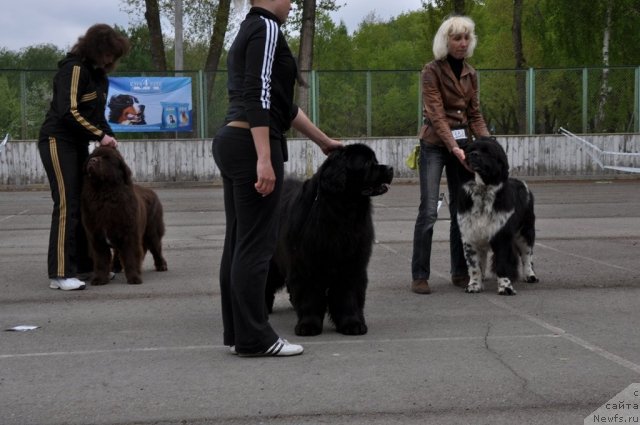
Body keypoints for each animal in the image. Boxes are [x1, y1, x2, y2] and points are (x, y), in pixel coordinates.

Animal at [80, 147, 168, 284]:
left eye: (106, 158)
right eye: (92, 156)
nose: (92, 161)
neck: (104, 195)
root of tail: (151, 191)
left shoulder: (130, 233)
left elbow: (131, 256)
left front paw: (134, 278)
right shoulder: (96, 236)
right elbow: (100, 260)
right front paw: (99, 279)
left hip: (152, 231)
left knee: (156, 247)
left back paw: (161, 265)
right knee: (118, 251)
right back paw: (116, 267)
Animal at [264, 142, 396, 334]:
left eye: (376, 160)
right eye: (365, 163)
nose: (391, 168)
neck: (343, 212)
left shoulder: (351, 262)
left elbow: (348, 295)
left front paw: (352, 323)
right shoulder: (306, 263)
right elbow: (309, 295)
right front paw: (308, 325)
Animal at [456, 137, 540, 294]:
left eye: (487, 152)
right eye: (471, 150)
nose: (473, 154)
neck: (482, 191)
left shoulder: (501, 235)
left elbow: (502, 263)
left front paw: (505, 287)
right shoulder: (470, 235)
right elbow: (474, 265)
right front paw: (474, 285)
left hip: (525, 231)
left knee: (527, 255)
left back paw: (530, 275)